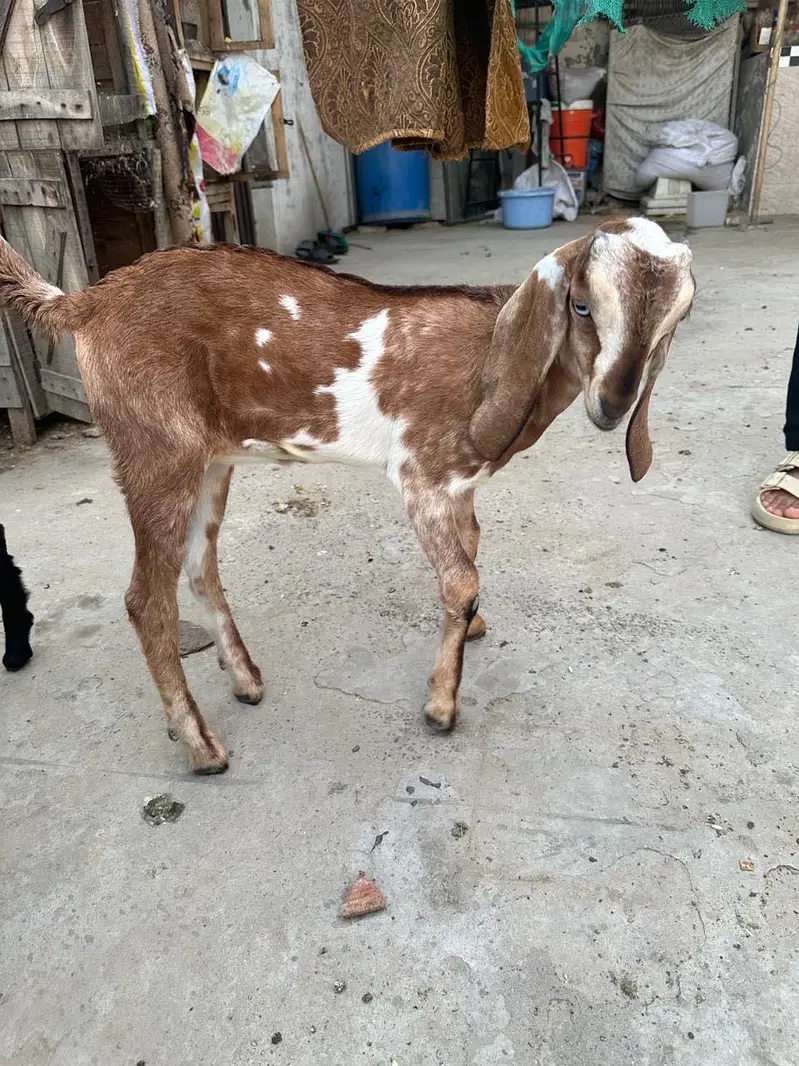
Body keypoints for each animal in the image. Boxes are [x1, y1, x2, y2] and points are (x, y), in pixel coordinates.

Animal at [0, 218, 694, 773]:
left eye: (675, 320)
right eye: (580, 305)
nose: (613, 405)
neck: (490, 351)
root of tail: (88, 301)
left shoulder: (461, 488)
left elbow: (473, 548)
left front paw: (472, 633)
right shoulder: (422, 475)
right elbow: (461, 580)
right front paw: (441, 706)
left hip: (210, 460)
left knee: (200, 568)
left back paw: (246, 680)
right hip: (155, 451)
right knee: (146, 600)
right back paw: (201, 747)